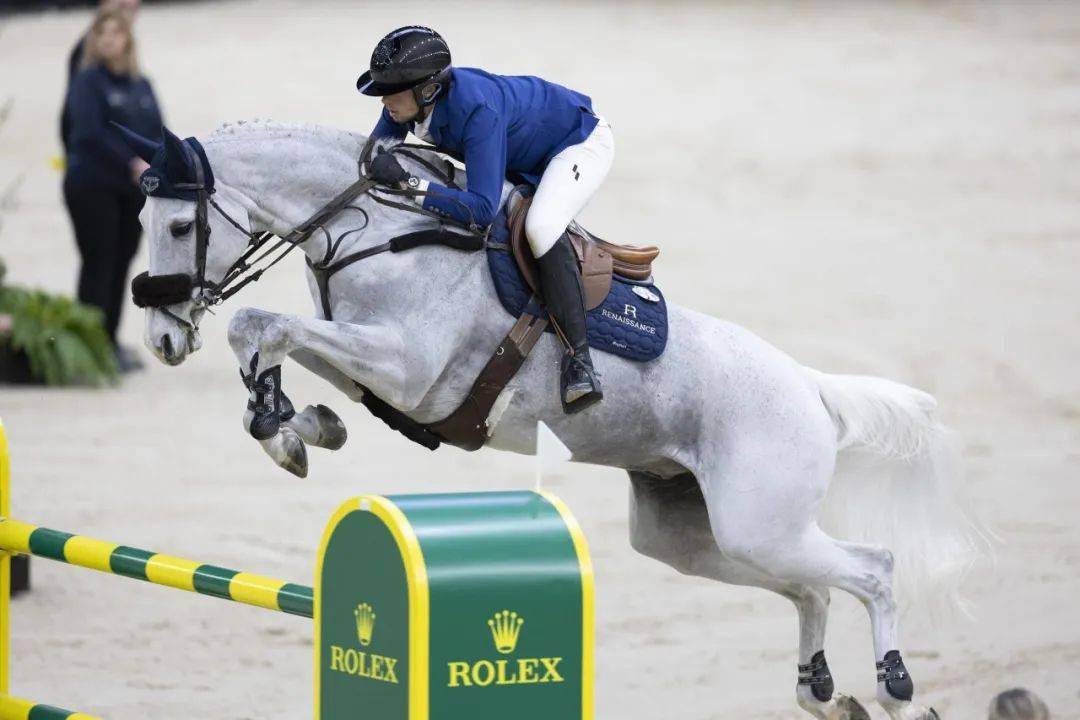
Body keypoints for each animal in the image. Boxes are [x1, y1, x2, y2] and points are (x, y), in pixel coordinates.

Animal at [131, 120, 984, 719]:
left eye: (178, 227)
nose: (163, 339)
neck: (378, 230)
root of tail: (809, 386)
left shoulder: (409, 367)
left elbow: (261, 326)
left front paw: (284, 426)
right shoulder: (376, 366)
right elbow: (272, 338)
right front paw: (298, 426)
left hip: (758, 521)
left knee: (871, 568)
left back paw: (897, 688)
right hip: (690, 536)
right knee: (811, 589)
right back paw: (818, 687)